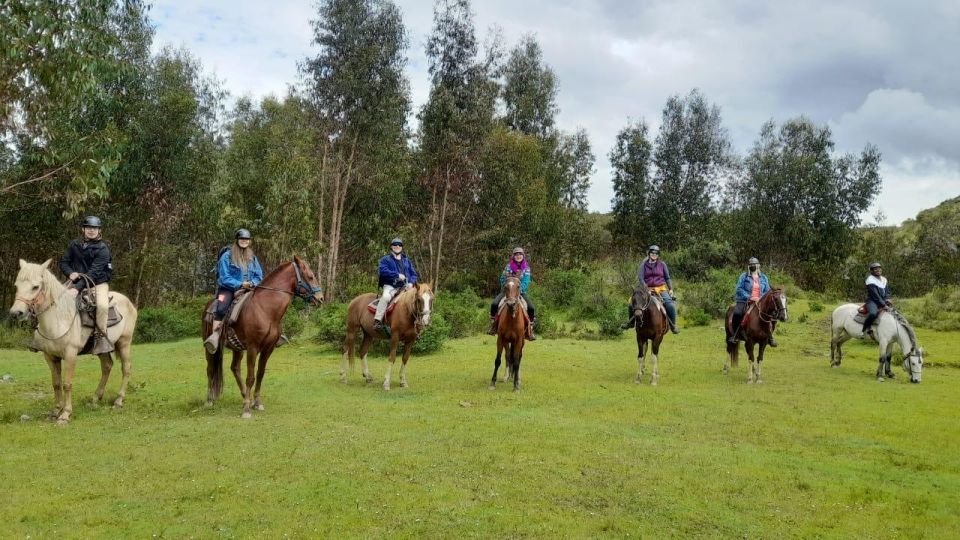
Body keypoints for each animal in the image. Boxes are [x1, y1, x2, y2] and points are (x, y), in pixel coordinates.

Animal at [7, 260, 138, 424]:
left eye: (35, 287)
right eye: (17, 285)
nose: (16, 313)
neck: (58, 319)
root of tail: (129, 303)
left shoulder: (70, 355)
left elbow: (67, 384)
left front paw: (65, 414)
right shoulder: (50, 357)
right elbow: (56, 384)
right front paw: (55, 411)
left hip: (124, 343)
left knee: (126, 368)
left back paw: (118, 401)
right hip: (102, 350)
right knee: (107, 366)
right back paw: (95, 399)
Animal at [202, 254, 322, 418]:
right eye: (310, 276)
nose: (320, 298)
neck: (265, 310)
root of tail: (208, 305)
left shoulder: (268, 349)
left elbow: (260, 374)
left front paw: (256, 403)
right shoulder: (253, 348)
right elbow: (251, 377)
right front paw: (246, 409)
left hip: (237, 348)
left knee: (235, 368)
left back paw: (244, 395)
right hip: (210, 348)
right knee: (210, 369)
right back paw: (209, 400)